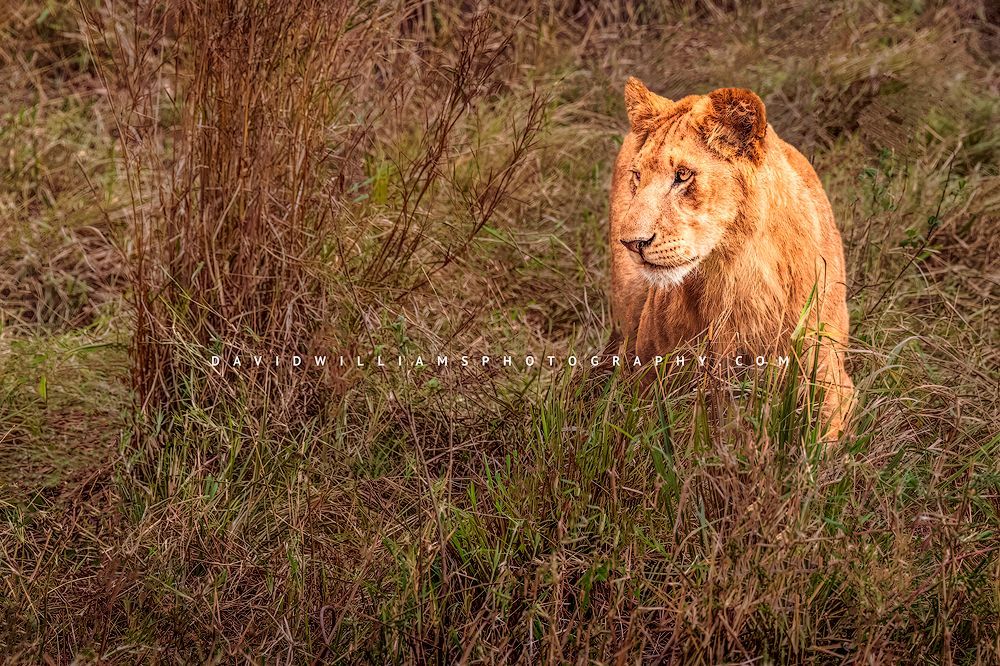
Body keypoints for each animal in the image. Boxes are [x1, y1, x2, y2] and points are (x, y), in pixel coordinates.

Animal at [609, 78, 854, 437]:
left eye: (683, 175)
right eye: (637, 177)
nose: (631, 243)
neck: (735, 275)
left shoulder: (831, 376)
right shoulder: (652, 379)